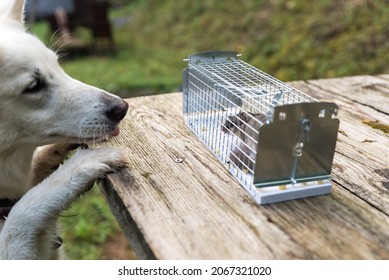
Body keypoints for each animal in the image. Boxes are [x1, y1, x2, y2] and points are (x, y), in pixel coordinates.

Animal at [0, 0, 130, 260]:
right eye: (34, 86)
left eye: (57, 65)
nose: (122, 107)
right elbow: (22, 212)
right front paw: (82, 165)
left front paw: (54, 154)